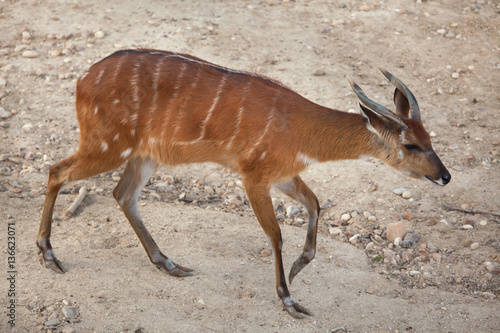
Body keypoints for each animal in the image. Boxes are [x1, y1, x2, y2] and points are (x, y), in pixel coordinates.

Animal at [39, 48, 452, 316]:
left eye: (430, 137)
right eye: (410, 144)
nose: (445, 176)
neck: (300, 130)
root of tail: (81, 80)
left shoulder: (282, 174)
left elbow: (315, 204)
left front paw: (299, 268)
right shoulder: (253, 175)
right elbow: (276, 234)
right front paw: (289, 300)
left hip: (144, 155)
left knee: (122, 193)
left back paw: (169, 264)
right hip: (107, 144)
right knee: (57, 170)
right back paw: (49, 255)